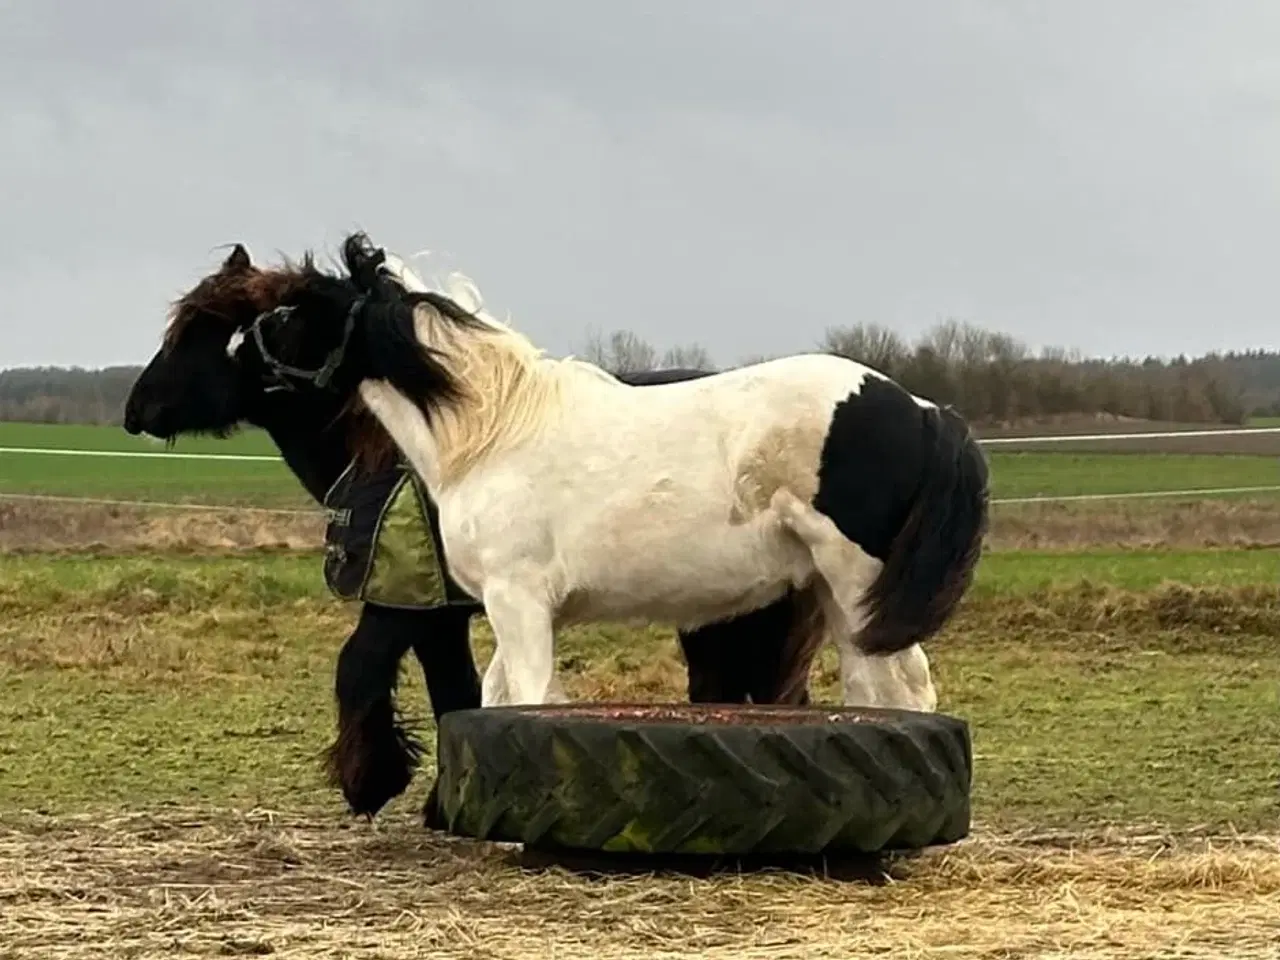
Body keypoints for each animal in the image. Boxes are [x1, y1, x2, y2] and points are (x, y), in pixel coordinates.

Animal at [122, 245, 819, 819]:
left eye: (205, 330)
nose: (137, 409)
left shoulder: (403, 606)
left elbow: (360, 669)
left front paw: (374, 782)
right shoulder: (441, 616)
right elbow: (455, 692)